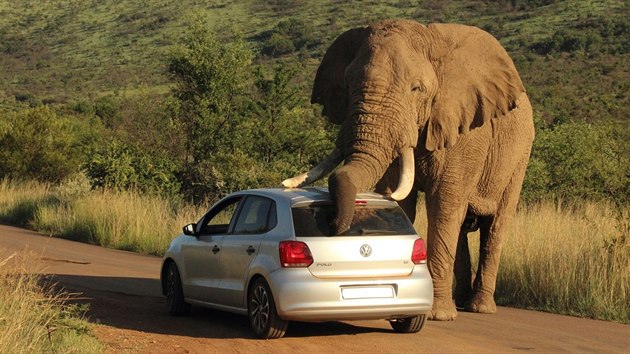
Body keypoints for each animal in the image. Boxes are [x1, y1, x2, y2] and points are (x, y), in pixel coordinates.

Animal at [284, 19, 536, 320]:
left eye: (417, 88)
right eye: (347, 84)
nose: (330, 224)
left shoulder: (465, 133)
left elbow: (443, 205)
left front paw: (437, 315)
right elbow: (402, 201)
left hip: (519, 156)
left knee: (494, 226)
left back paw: (480, 307)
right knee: (463, 227)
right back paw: (462, 302)